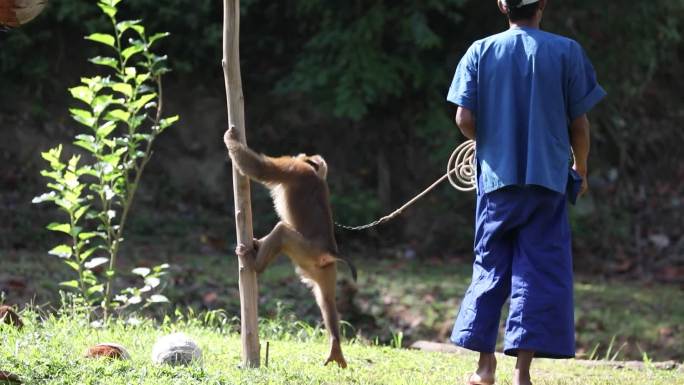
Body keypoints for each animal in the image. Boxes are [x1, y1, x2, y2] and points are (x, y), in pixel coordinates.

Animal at [224, 127, 356, 368]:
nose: (304, 154)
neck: (313, 172)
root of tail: (329, 251)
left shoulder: (293, 167)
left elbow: (260, 169)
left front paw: (231, 138)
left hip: (305, 249)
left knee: (282, 232)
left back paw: (254, 264)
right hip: (322, 267)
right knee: (326, 299)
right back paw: (335, 343)